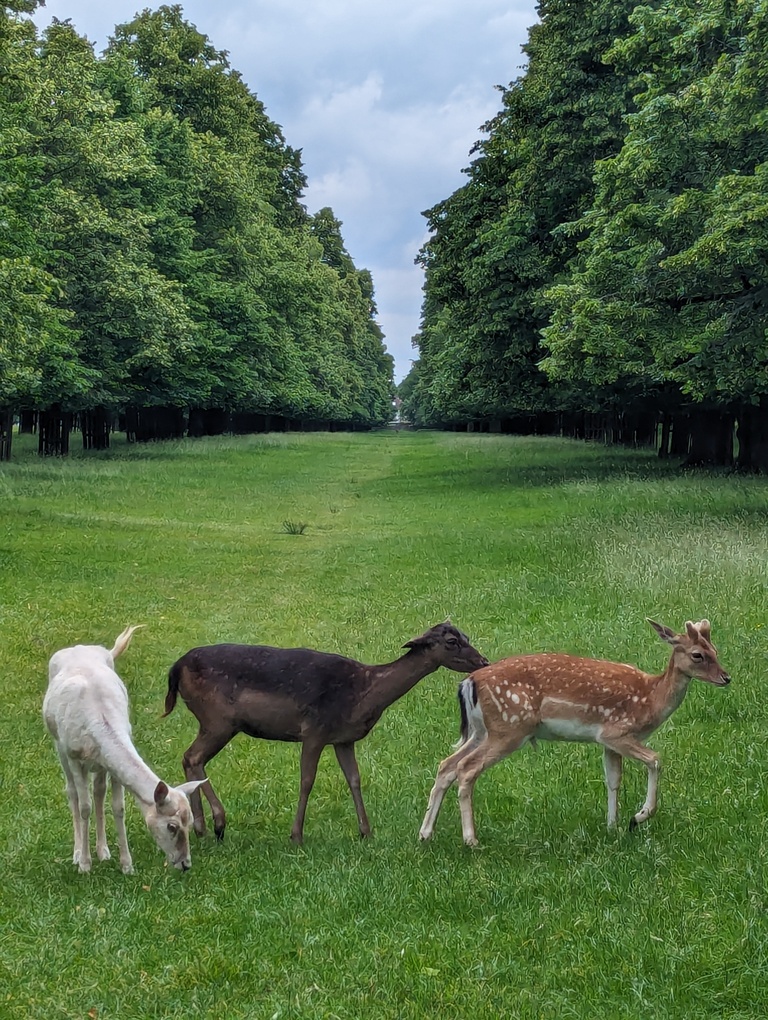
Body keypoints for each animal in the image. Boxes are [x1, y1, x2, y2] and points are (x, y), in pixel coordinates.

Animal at [44, 624, 207, 873]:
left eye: (189, 822)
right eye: (171, 826)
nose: (185, 864)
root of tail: (78, 647)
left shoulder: (112, 765)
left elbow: (118, 807)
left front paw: (127, 865)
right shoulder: (74, 756)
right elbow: (84, 806)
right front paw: (84, 865)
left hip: (100, 765)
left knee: (98, 792)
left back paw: (103, 851)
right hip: (59, 745)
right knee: (72, 792)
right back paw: (77, 853)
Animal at [163, 620, 485, 844]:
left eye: (466, 635)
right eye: (452, 640)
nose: (483, 661)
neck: (364, 693)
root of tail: (175, 668)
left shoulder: (343, 739)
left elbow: (354, 779)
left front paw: (366, 832)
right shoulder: (315, 730)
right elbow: (307, 781)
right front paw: (296, 836)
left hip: (214, 723)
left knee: (190, 758)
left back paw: (201, 827)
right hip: (218, 720)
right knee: (193, 756)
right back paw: (217, 823)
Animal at [420, 620, 730, 844]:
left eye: (716, 650)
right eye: (698, 655)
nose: (726, 677)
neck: (651, 699)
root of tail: (468, 682)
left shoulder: (607, 742)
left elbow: (613, 780)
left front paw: (613, 826)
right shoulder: (617, 732)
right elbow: (655, 759)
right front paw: (639, 816)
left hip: (482, 731)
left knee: (446, 765)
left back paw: (426, 834)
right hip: (509, 727)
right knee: (466, 769)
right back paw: (471, 840)